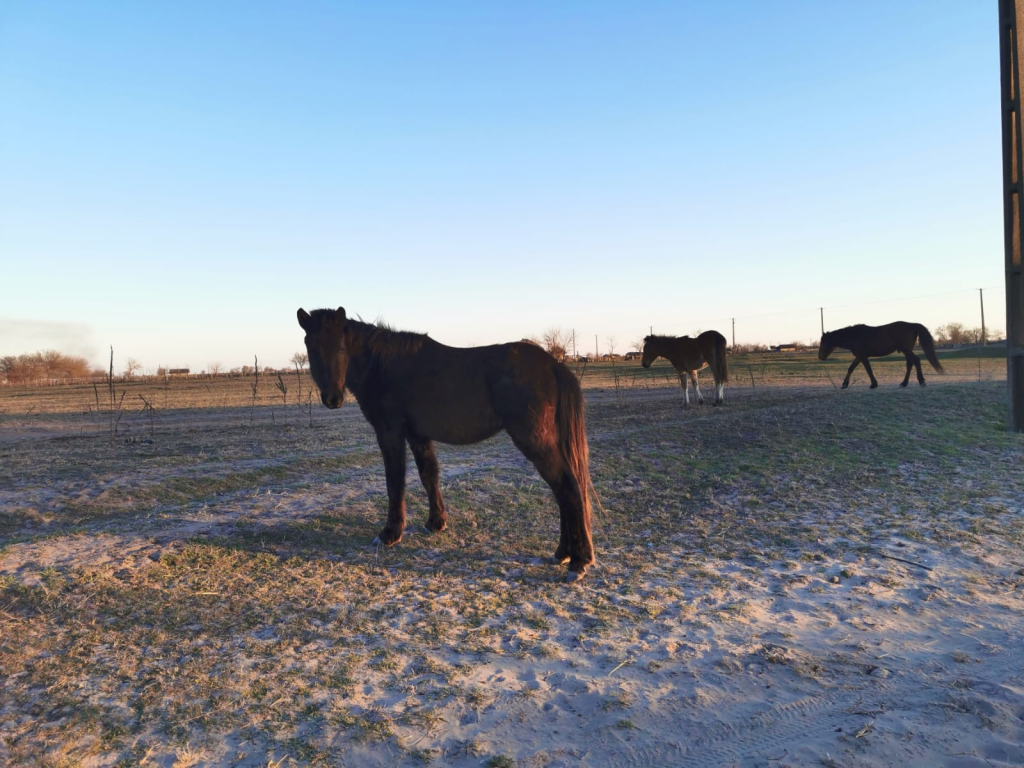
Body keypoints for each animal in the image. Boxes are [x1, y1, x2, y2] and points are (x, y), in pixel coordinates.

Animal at [296, 307, 598, 581]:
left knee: (568, 488)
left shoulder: (390, 432)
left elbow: (395, 481)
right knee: (563, 490)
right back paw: (563, 553)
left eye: (341, 347)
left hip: (536, 442)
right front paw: (435, 523)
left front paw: (390, 533)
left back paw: (579, 561)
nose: (333, 398)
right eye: (311, 347)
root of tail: (552, 365)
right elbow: (429, 475)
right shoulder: (417, 434)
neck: (383, 365)